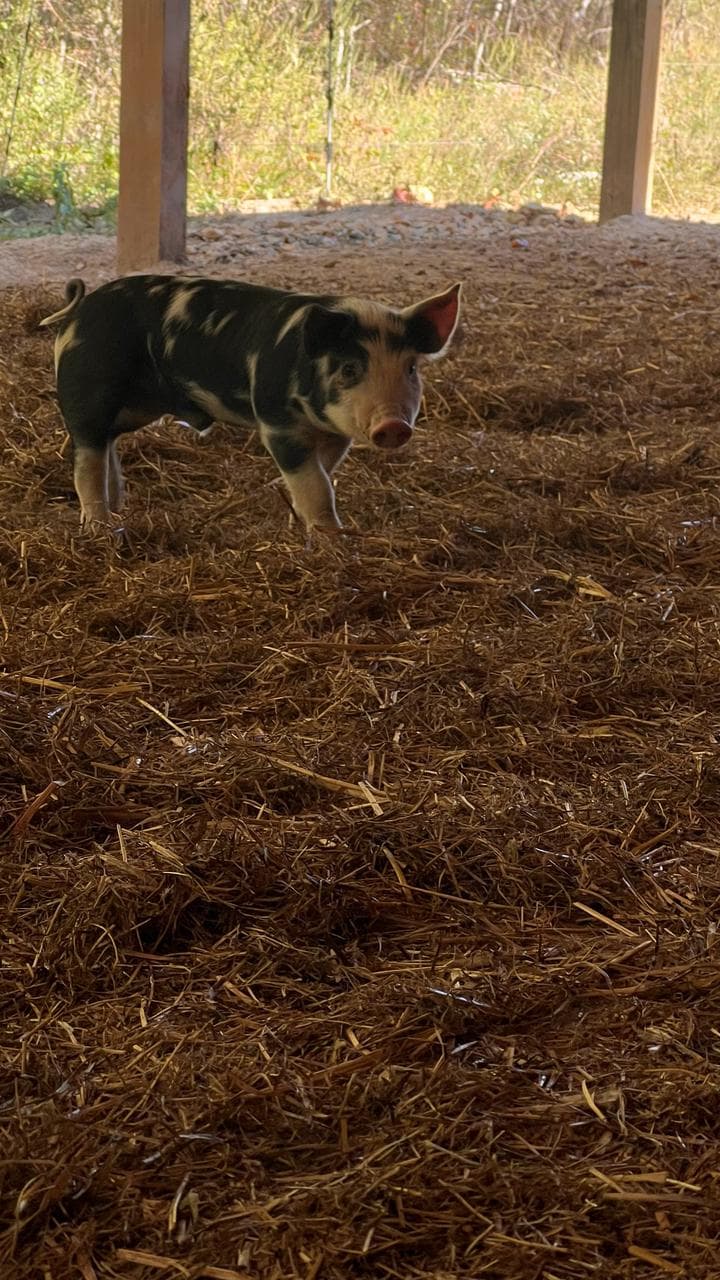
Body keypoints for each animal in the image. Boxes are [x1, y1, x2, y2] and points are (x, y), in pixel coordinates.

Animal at [40, 274, 461, 533]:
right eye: (349, 368)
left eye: (410, 369)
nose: (394, 426)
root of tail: (78, 312)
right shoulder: (277, 423)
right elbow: (317, 486)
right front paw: (331, 537)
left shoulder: (334, 435)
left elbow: (320, 475)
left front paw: (294, 515)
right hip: (87, 397)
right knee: (86, 464)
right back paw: (102, 528)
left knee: (108, 452)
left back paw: (118, 510)